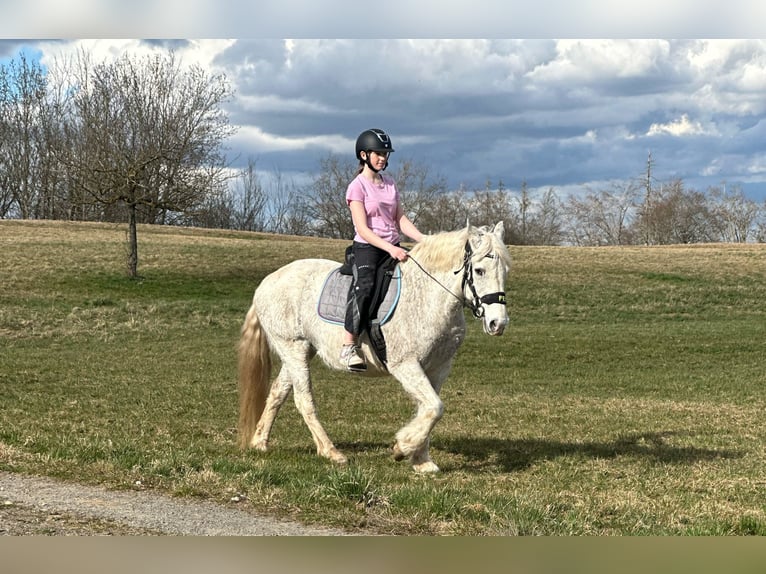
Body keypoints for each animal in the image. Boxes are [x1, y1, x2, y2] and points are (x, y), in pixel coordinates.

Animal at [237, 223, 512, 474]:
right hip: (292, 347)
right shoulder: (405, 365)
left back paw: (260, 442)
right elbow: (435, 407)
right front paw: (402, 448)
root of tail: (266, 282)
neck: (426, 297)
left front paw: (421, 460)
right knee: (303, 400)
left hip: (300, 351)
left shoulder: (438, 368)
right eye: (479, 270)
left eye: (505, 271)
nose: (498, 323)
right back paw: (331, 452)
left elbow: (428, 409)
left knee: (277, 392)